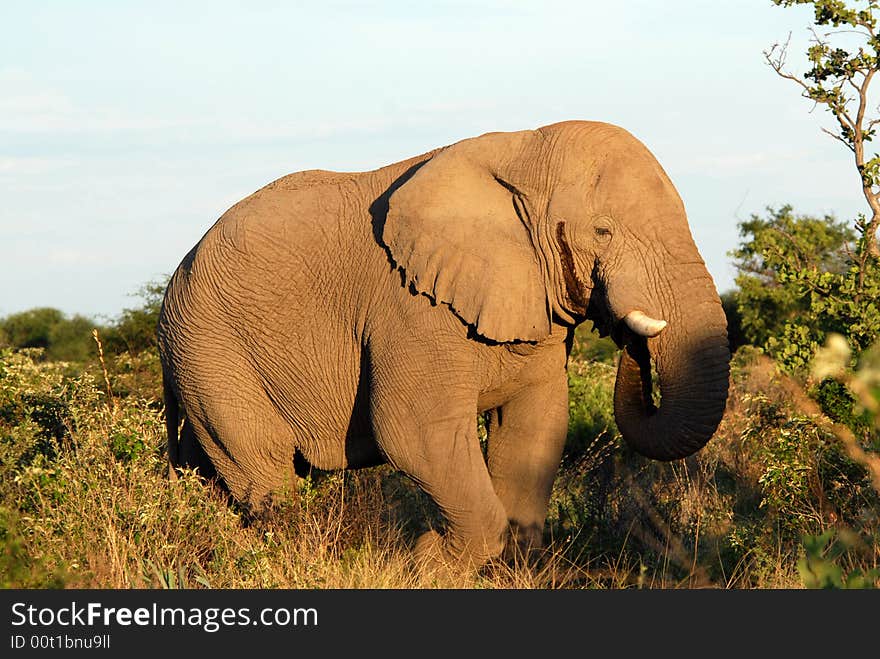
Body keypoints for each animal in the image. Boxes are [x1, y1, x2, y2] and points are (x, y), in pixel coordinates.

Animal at [156, 120, 728, 572]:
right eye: (603, 231)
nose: (629, 340)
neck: (523, 149)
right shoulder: (409, 306)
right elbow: (415, 431)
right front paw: (423, 560)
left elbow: (536, 425)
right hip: (209, 352)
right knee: (265, 471)